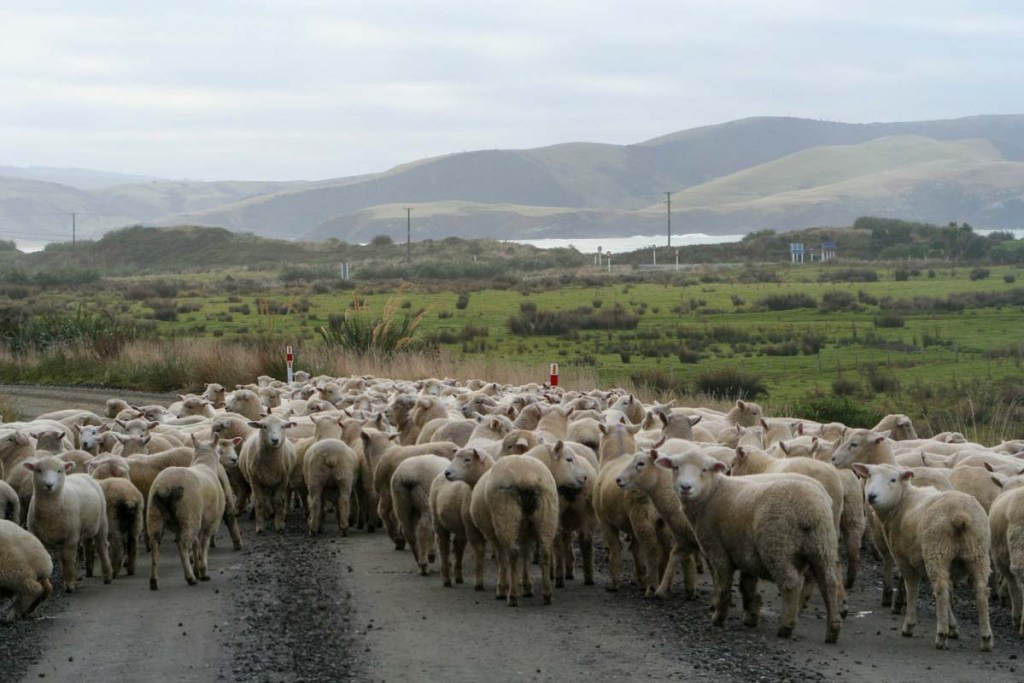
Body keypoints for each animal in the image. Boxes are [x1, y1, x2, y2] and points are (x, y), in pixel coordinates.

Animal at [25, 456, 112, 593]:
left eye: (59, 471)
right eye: (38, 470)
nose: (49, 485)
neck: (50, 510)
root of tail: (82, 474)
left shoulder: (71, 537)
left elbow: (68, 559)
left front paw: (70, 583)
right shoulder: (41, 538)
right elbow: (48, 560)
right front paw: (49, 586)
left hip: (101, 522)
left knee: (101, 547)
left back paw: (107, 575)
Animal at [147, 436, 227, 589]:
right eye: (220, 450)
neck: (205, 464)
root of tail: (166, 486)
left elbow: (195, 544)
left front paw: (197, 569)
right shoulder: (211, 523)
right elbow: (203, 544)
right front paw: (203, 571)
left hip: (155, 515)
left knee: (154, 544)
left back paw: (154, 580)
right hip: (189, 515)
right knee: (183, 545)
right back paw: (190, 578)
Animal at [468, 456, 557, 606]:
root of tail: (527, 478)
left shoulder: (492, 535)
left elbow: (501, 559)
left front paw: (501, 588)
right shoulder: (526, 533)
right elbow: (526, 555)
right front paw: (527, 587)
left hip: (505, 516)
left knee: (513, 554)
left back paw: (512, 596)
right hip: (547, 516)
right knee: (545, 552)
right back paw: (547, 594)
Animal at [856, 464, 991, 651]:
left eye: (893, 479)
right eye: (869, 475)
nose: (871, 496)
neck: (903, 502)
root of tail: (960, 516)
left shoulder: (905, 559)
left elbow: (912, 588)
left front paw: (909, 625)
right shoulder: (923, 559)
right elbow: (949, 592)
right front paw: (953, 627)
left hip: (937, 549)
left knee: (941, 589)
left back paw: (941, 636)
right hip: (977, 552)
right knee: (980, 590)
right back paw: (986, 638)